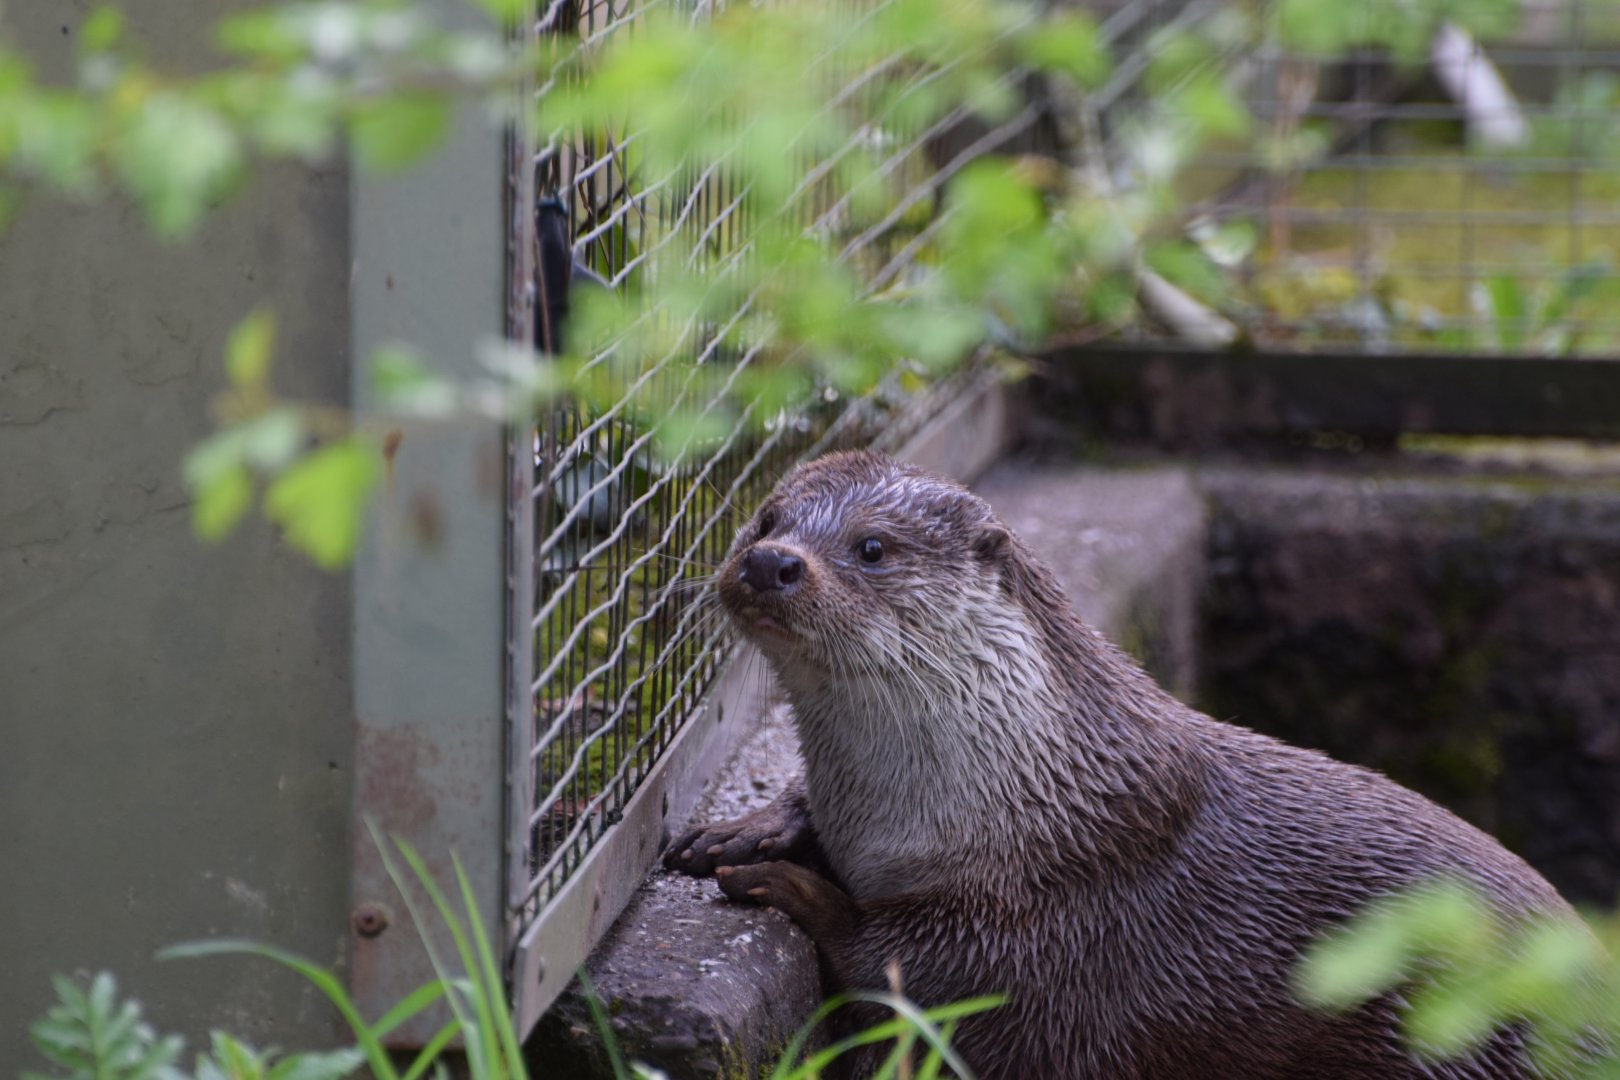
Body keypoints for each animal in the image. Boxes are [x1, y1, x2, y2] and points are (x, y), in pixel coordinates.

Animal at [665, 450, 1583, 1079]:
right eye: (766, 519)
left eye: (872, 548)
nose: (771, 563)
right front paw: (744, 831)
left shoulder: (1053, 908)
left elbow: (906, 963)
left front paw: (790, 888)